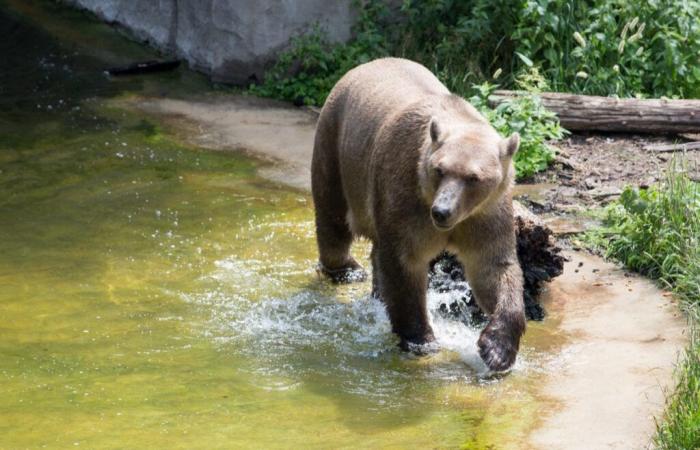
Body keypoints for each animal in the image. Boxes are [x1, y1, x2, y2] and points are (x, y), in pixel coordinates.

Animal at [312, 58, 524, 370]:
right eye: (440, 170)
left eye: (474, 177)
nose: (442, 212)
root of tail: (364, 66)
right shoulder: (407, 199)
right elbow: (404, 264)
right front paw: (421, 338)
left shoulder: (485, 214)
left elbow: (493, 268)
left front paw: (497, 350)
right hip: (337, 146)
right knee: (333, 218)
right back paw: (347, 268)